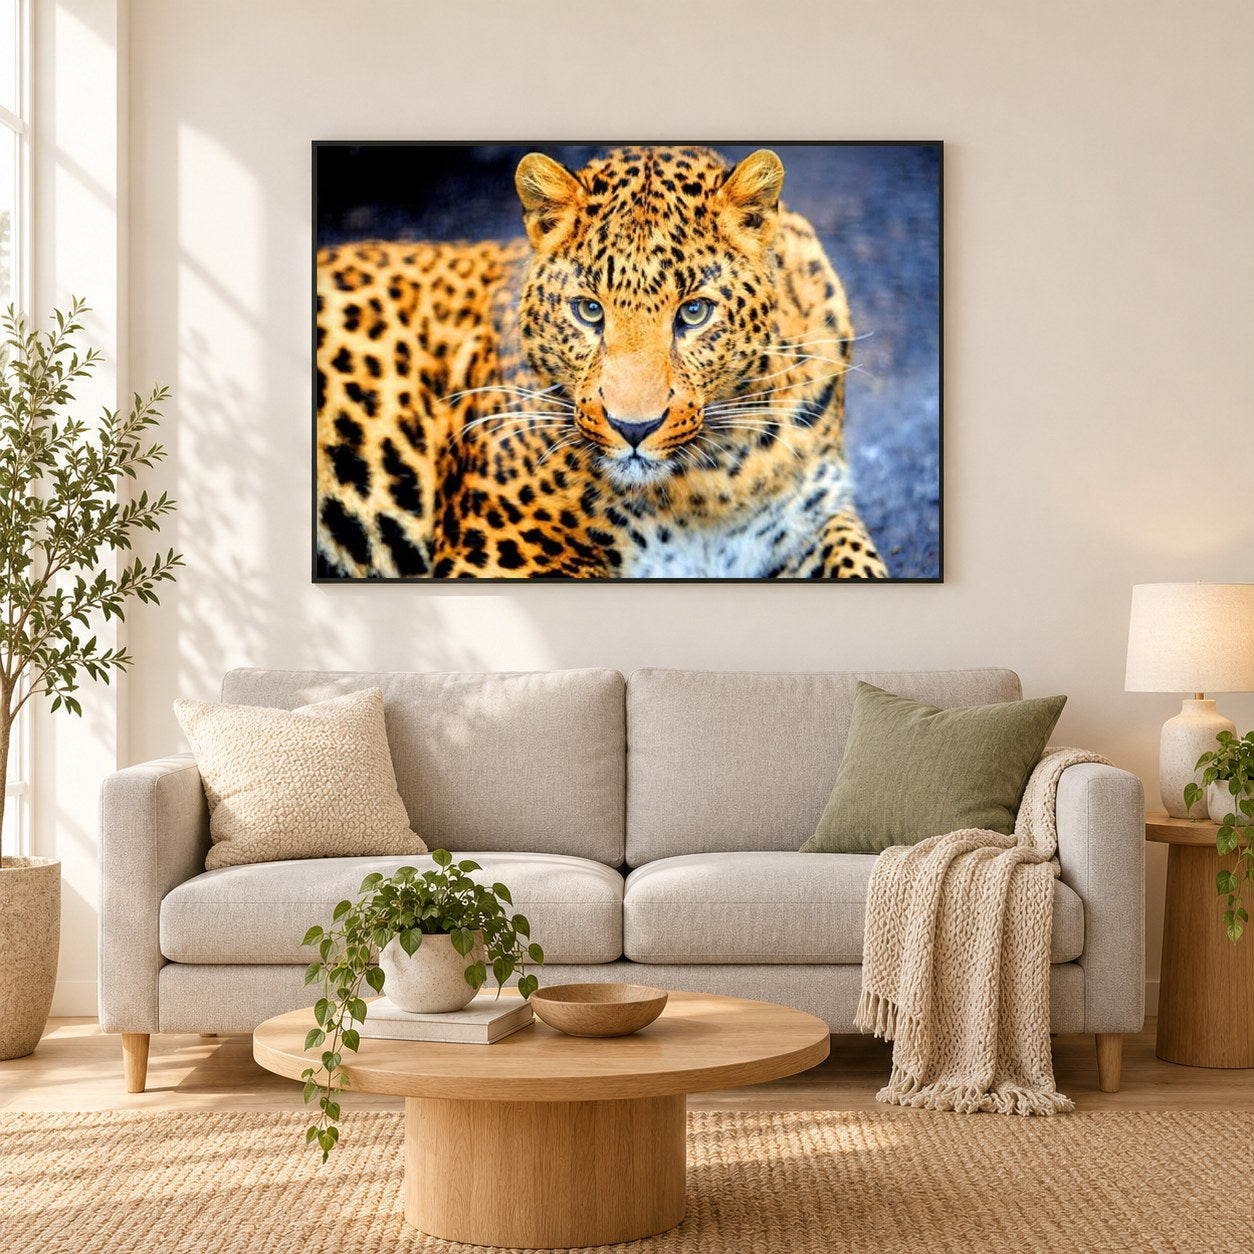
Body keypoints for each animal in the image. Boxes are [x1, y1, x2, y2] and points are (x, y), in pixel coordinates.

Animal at [316, 145, 889, 579]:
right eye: (589, 311)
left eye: (694, 312)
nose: (633, 428)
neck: (710, 488)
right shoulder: (498, 553)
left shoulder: (813, 517)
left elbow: (862, 565)